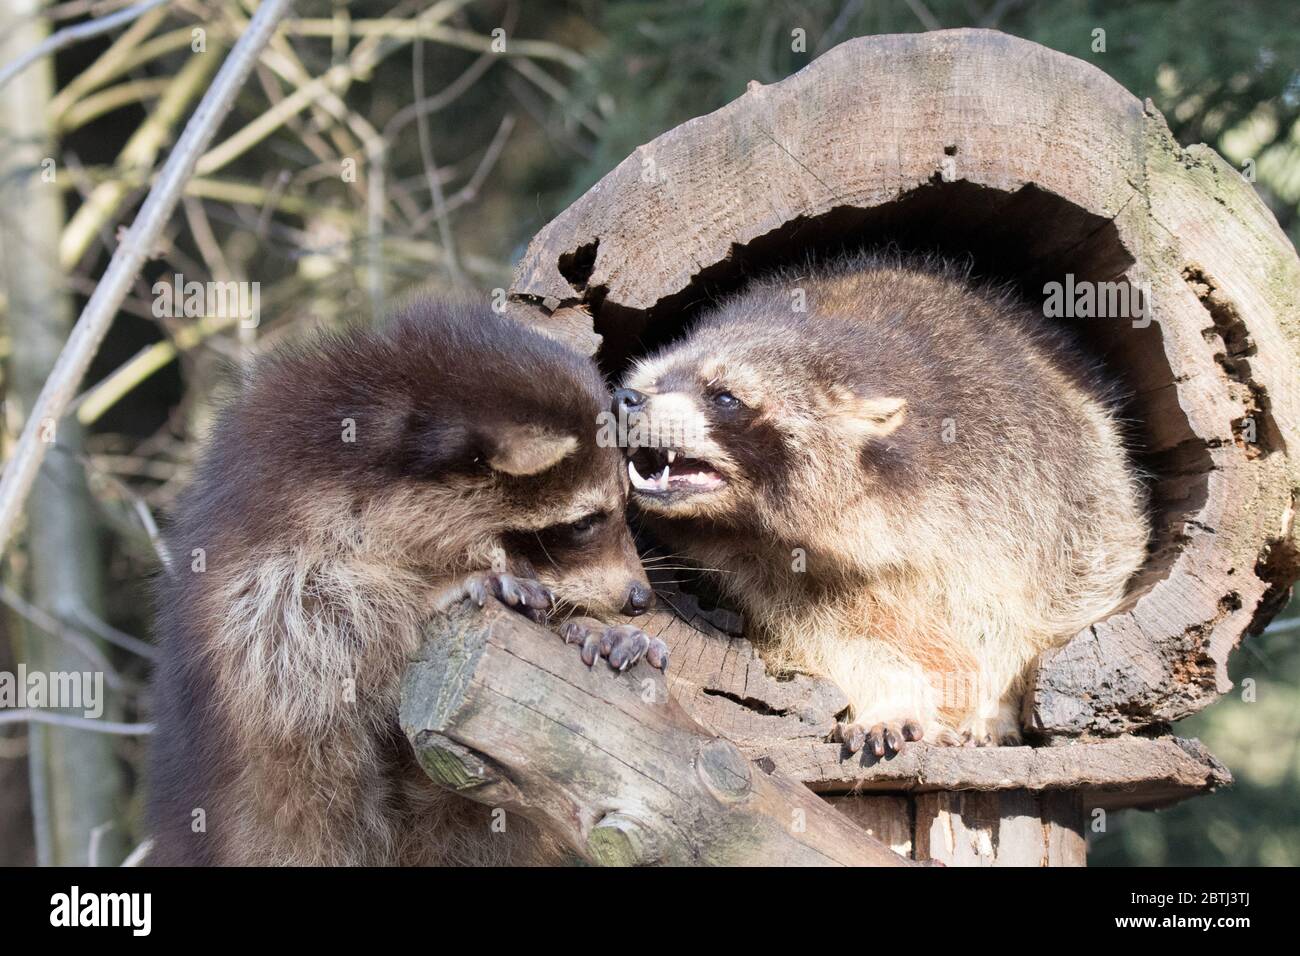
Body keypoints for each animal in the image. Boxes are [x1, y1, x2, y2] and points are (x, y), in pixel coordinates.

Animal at [147, 300, 665, 868]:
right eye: (583, 523)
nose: (640, 599)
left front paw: (589, 623)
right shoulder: (260, 545)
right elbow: (309, 627)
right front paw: (434, 589)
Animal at [618, 252, 1149, 754]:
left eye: (725, 396)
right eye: (653, 381)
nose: (626, 397)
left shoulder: (1041, 484)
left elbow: (1043, 602)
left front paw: (993, 699)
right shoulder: (761, 574)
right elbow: (827, 639)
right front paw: (891, 696)